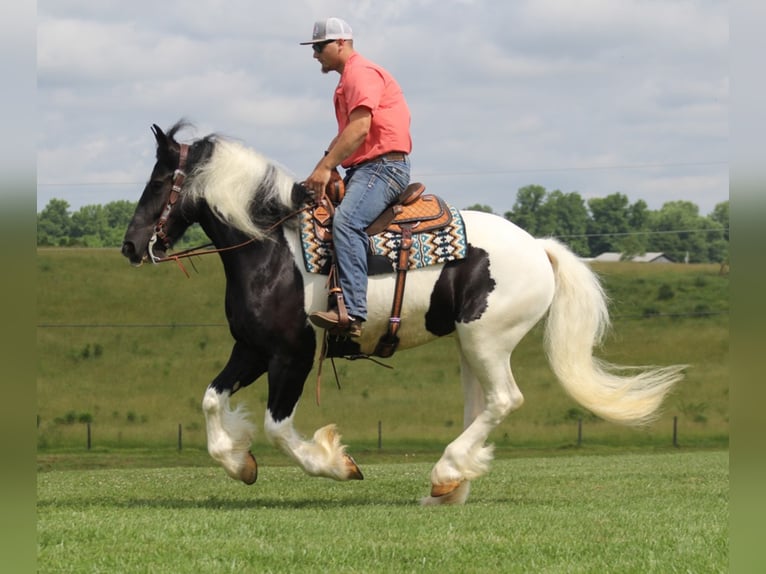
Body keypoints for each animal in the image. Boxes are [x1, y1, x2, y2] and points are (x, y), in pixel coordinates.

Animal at [123, 120, 688, 504]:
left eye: (158, 182)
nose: (130, 246)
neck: (272, 250)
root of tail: (538, 246)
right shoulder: (252, 348)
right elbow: (210, 400)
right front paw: (239, 462)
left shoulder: (292, 354)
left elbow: (279, 427)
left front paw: (337, 464)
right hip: (469, 346)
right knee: (481, 405)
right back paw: (452, 484)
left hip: (486, 340)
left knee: (504, 400)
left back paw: (446, 473)